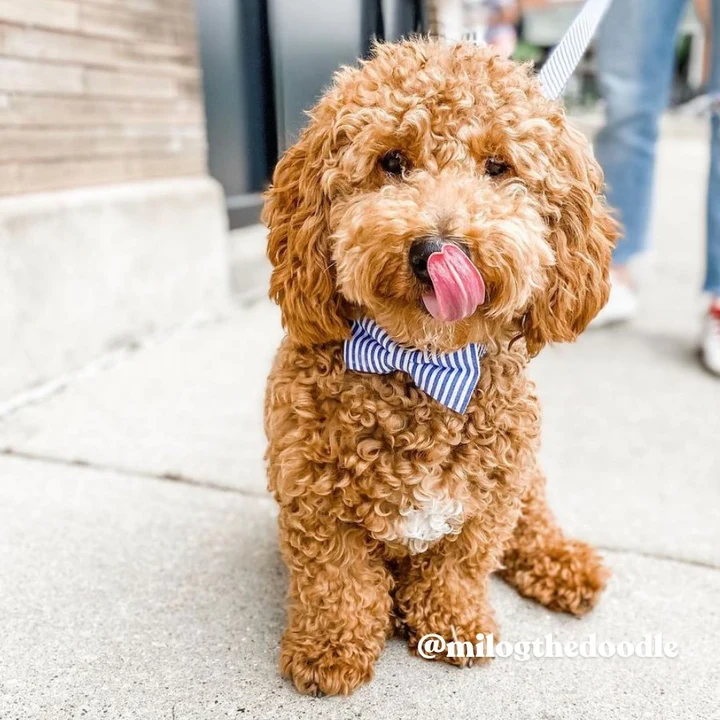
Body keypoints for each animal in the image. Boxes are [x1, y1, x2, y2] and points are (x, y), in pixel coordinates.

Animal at [264, 40, 620, 696]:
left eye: (498, 167)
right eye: (392, 161)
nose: (437, 249)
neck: (422, 362)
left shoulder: (490, 498)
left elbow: (459, 566)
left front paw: (452, 625)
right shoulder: (314, 500)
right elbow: (339, 581)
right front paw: (330, 650)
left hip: (527, 478)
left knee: (535, 523)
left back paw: (563, 564)